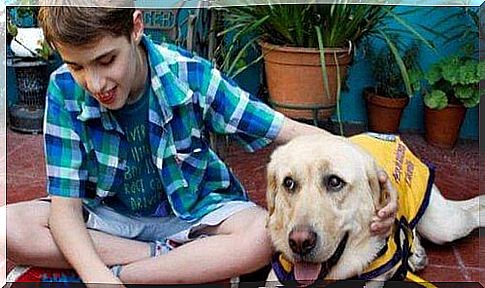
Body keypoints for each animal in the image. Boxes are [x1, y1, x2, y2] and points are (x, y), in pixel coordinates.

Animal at [266, 134, 482, 286]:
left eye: (335, 182)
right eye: (289, 183)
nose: (300, 243)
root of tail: (394, 138)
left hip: (444, 226)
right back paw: (415, 253)